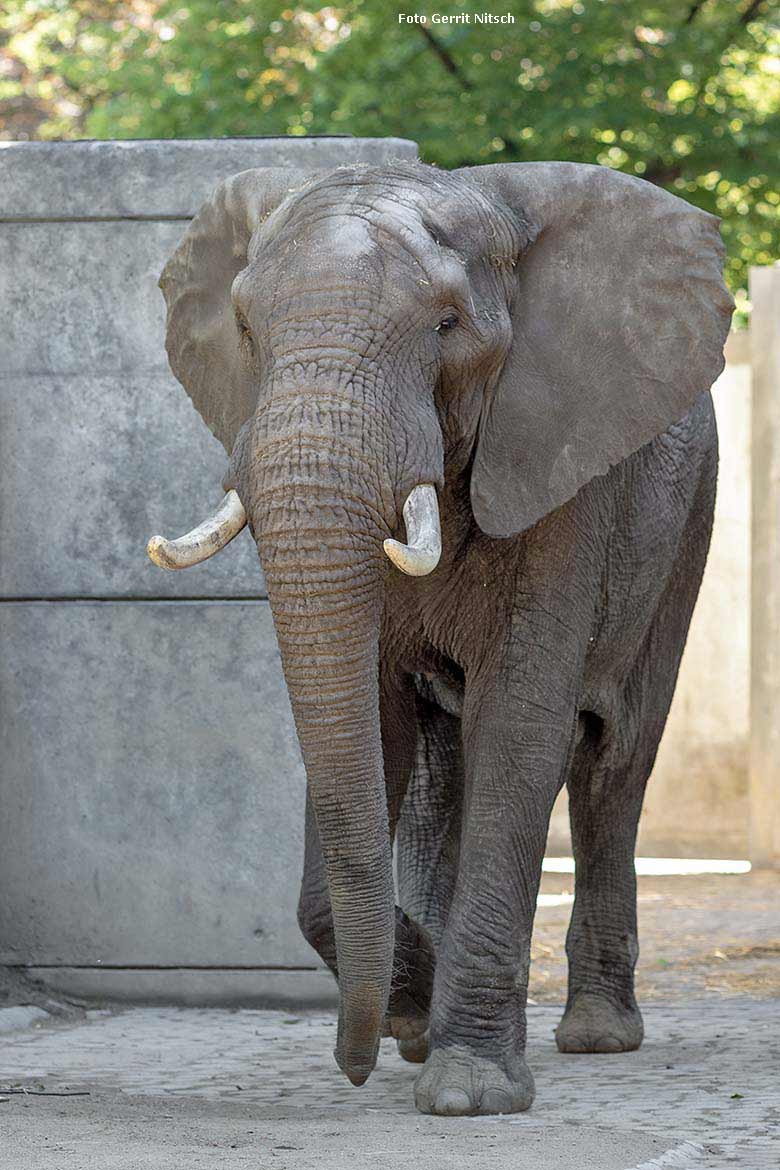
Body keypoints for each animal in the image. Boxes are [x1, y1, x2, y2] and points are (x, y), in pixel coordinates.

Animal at [146, 157, 734, 1113]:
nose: (353, 1064)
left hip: (688, 522)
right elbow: (376, 726)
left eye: (448, 325)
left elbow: (523, 722)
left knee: (613, 763)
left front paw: (468, 1091)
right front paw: (413, 1020)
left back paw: (598, 1035)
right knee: (445, 771)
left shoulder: (560, 467)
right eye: (244, 327)